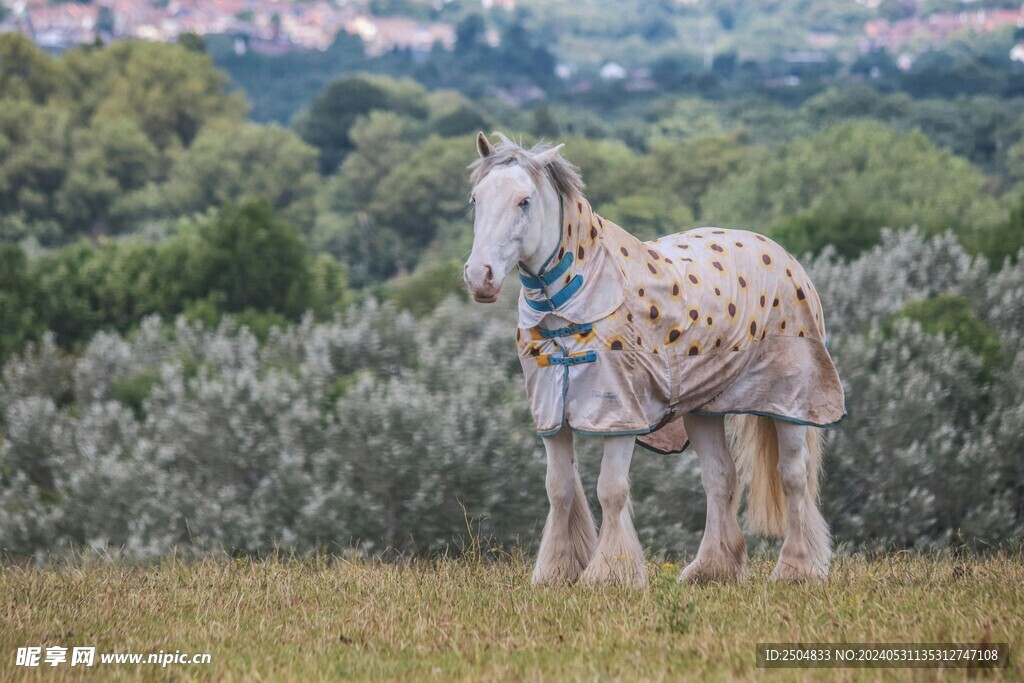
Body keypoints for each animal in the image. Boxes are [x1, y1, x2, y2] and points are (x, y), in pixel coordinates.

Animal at [463, 133, 846, 587]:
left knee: (793, 476)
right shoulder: (552, 414)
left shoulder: (621, 413)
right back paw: (712, 568)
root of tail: (785, 257)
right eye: (476, 198)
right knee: (720, 477)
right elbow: (559, 488)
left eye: (524, 201)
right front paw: (557, 571)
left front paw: (609, 573)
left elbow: (611, 489)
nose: (480, 277)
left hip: (789, 403)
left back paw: (797, 568)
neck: (576, 300)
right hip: (703, 409)